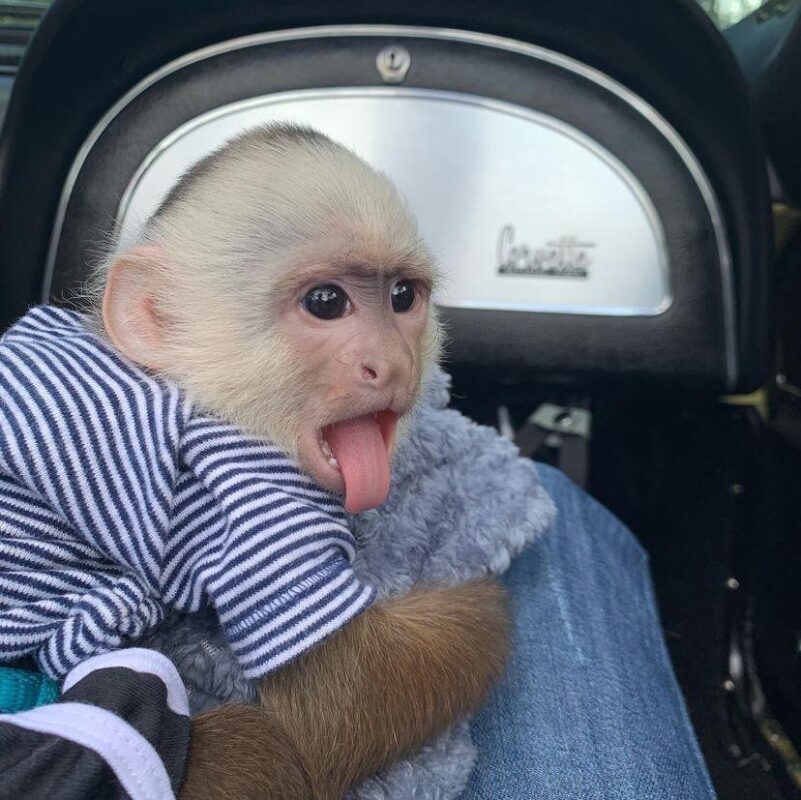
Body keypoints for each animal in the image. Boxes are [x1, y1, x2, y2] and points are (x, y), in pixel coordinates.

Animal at [1, 124, 510, 799]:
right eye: (326, 302)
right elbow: (341, 707)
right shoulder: (247, 482)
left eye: (404, 297)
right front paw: (489, 597)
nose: (393, 363)